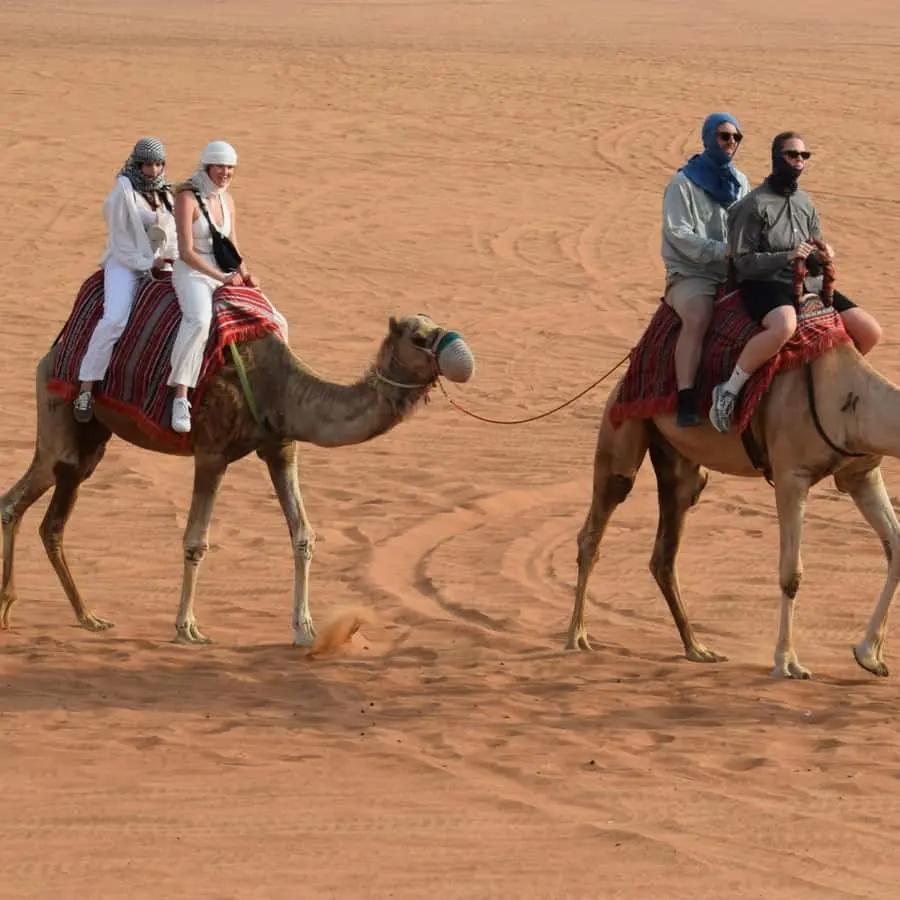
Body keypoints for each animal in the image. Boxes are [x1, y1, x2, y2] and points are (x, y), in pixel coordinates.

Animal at [1, 314, 455, 646]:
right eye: (418, 337)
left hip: (93, 438)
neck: (282, 389)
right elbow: (196, 540)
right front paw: (187, 628)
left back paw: (85, 616)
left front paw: (305, 630)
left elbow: (303, 534)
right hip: (58, 411)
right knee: (25, 497)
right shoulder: (212, 451)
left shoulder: (280, 446)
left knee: (43, 516)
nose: (453, 344)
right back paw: (20, 608)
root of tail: (51, 353)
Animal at [566, 341, 900, 679]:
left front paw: (869, 655)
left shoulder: (860, 476)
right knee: (598, 521)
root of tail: (621, 378)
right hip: (622, 424)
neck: (851, 402)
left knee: (665, 551)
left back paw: (697, 649)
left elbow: (895, 549)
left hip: (678, 461)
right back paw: (576, 637)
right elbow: (791, 572)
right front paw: (787, 662)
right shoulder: (791, 475)